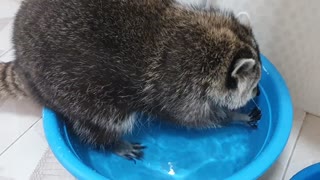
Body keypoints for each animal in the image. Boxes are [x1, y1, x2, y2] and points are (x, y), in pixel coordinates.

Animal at [0, 0, 262, 160]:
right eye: (253, 87)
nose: (259, 94)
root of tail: (22, 63)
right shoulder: (180, 89)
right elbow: (196, 119)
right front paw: (233, 116)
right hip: (76, 93)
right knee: (101, 122)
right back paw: (111, 142)